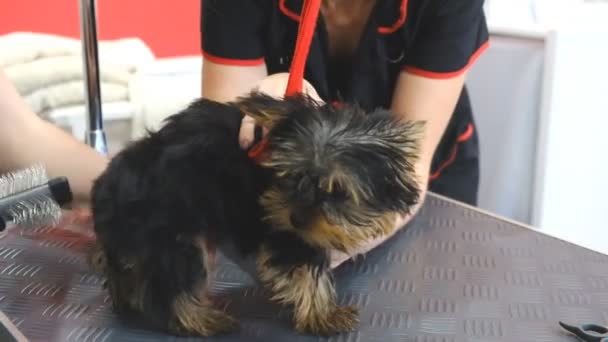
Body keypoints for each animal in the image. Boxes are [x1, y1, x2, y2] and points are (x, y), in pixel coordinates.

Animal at [89, 92, 422, 338]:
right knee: (172, 285)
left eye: (337, 191)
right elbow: (308, 271)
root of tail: (107, 186)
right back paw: (201, 319)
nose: (297, 219)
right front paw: (323, 315)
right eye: (291, 176)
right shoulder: (286, 233)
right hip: (171, 230)